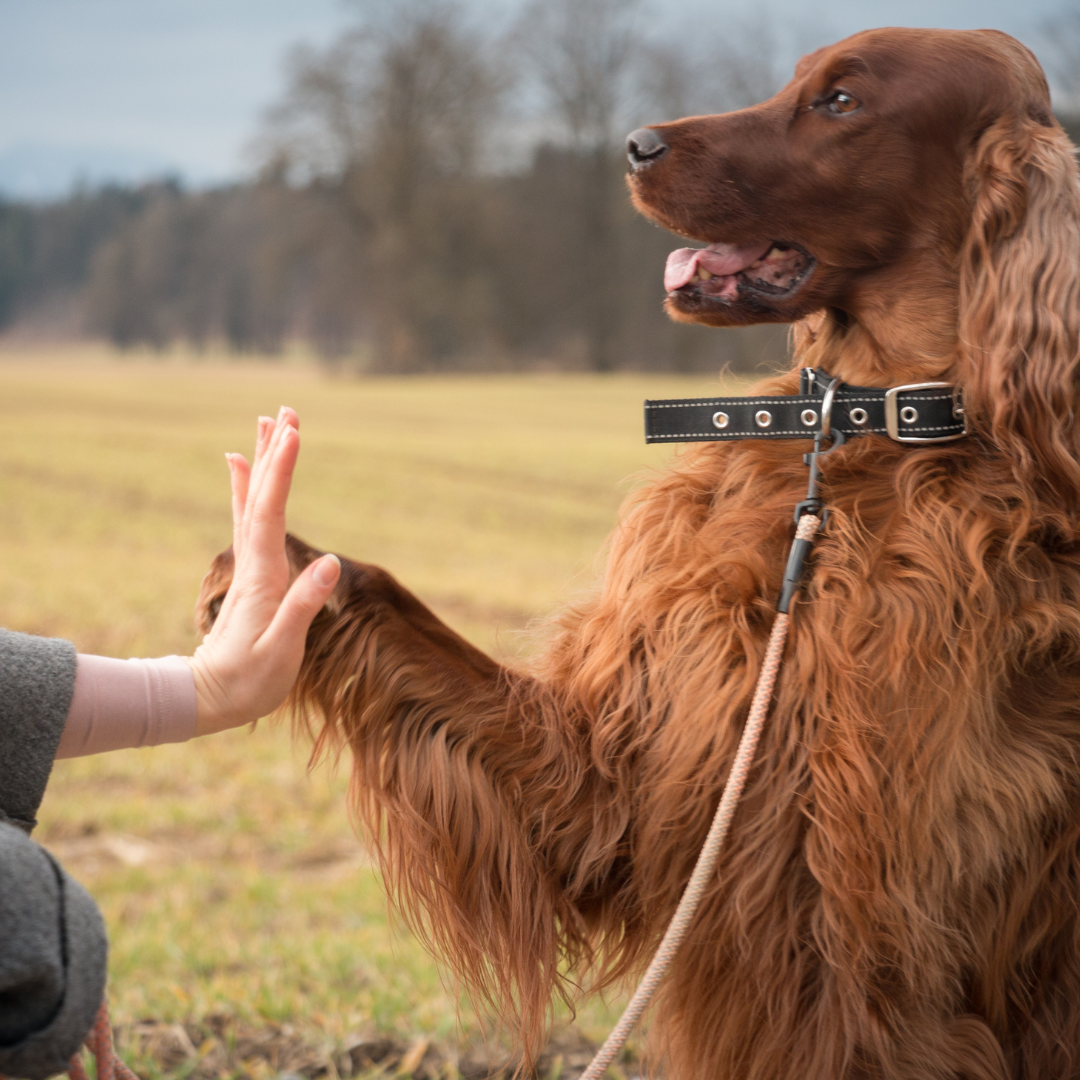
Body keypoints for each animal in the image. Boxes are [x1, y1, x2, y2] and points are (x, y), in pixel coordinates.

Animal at [200, 25, 1080, 1080]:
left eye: (841, 101)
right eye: (795, 78)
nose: (633, 145)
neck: (856, 438)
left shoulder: (879, 935)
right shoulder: (622, 780)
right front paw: (272, 573)